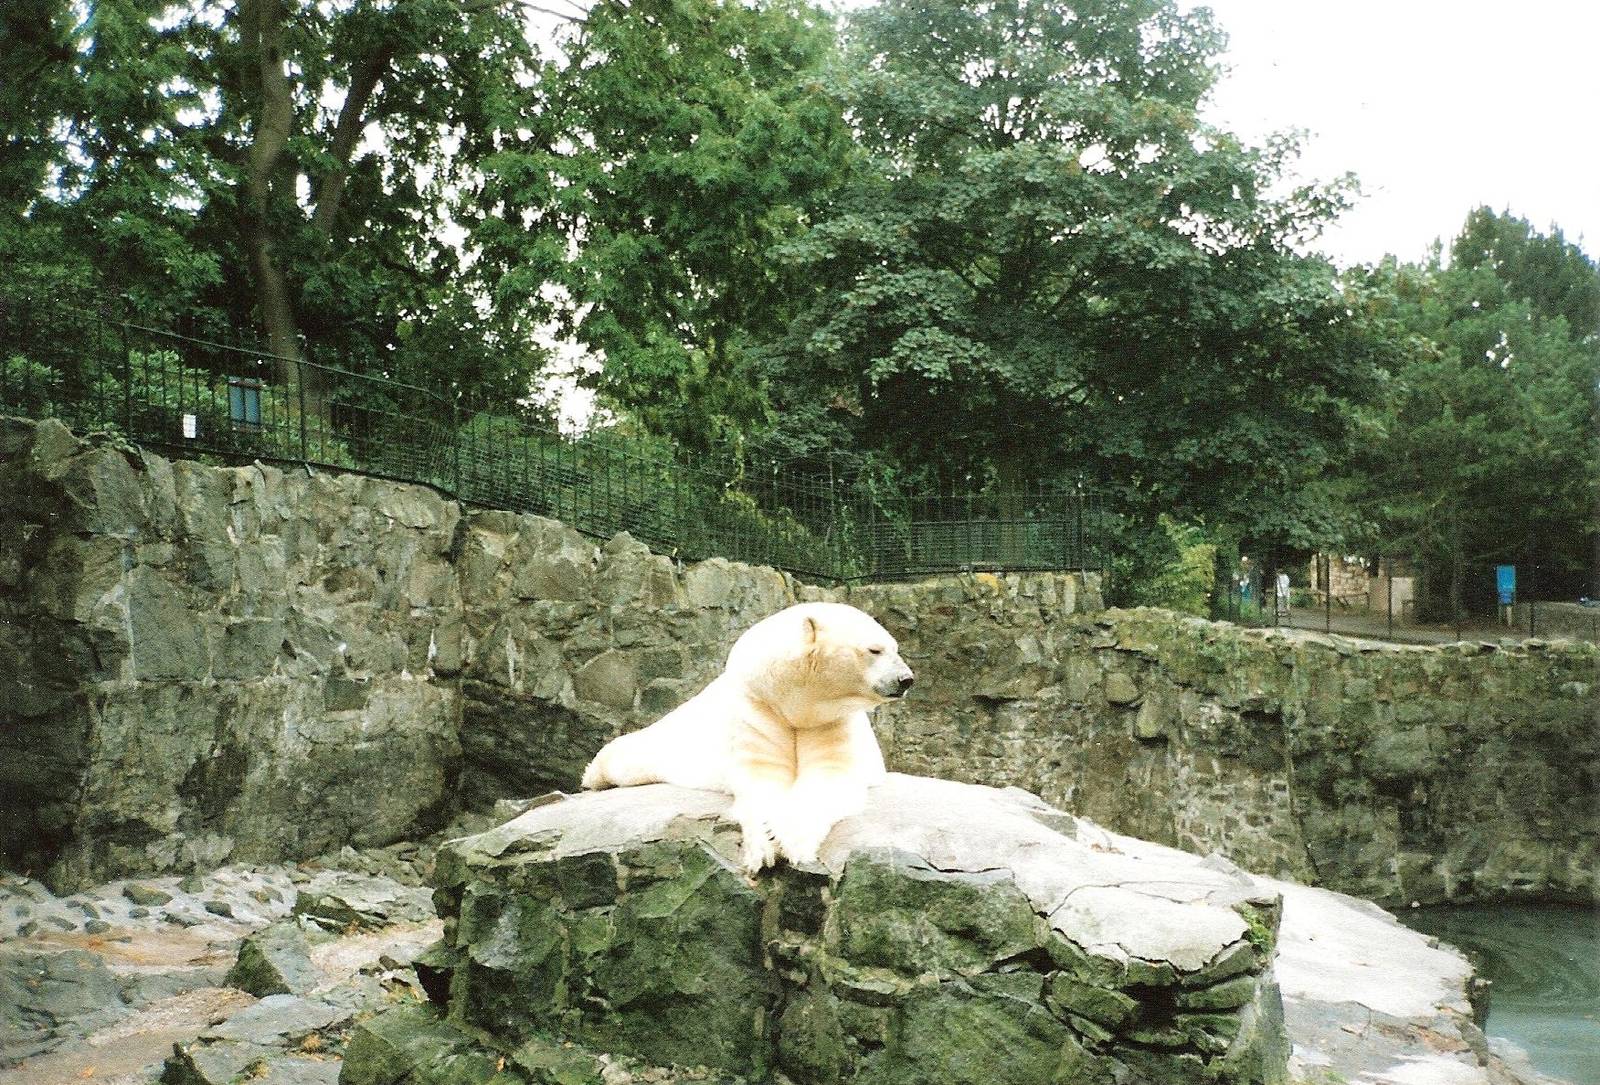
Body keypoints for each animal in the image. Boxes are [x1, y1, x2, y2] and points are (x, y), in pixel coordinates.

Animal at [580, 602, 914, 874]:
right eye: (875, 650)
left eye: (895, 648)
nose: (906, 679)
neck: (796, 705)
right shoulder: (757, 708)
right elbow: (761, 782)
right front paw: (764, 847)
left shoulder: (831, 720)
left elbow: (829, 778)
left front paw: (792, 841)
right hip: (669, 741)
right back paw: (591, 779)